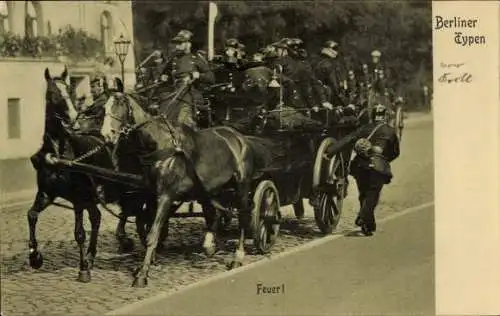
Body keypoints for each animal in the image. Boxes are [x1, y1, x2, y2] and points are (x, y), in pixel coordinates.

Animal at [100, 86, 276, 286]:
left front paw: (142, 274)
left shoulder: (166, 195)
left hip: (242, 185)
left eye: (119, 105)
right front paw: (147, 262)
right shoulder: (152, 194)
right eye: (104, 108)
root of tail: (241, 138)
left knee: (244, 216)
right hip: (211, 189)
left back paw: (238, 256)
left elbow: (153, 233)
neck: (160, 143)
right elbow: (148, 229)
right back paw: (210, 244)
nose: (107, 135)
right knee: (216, 212)